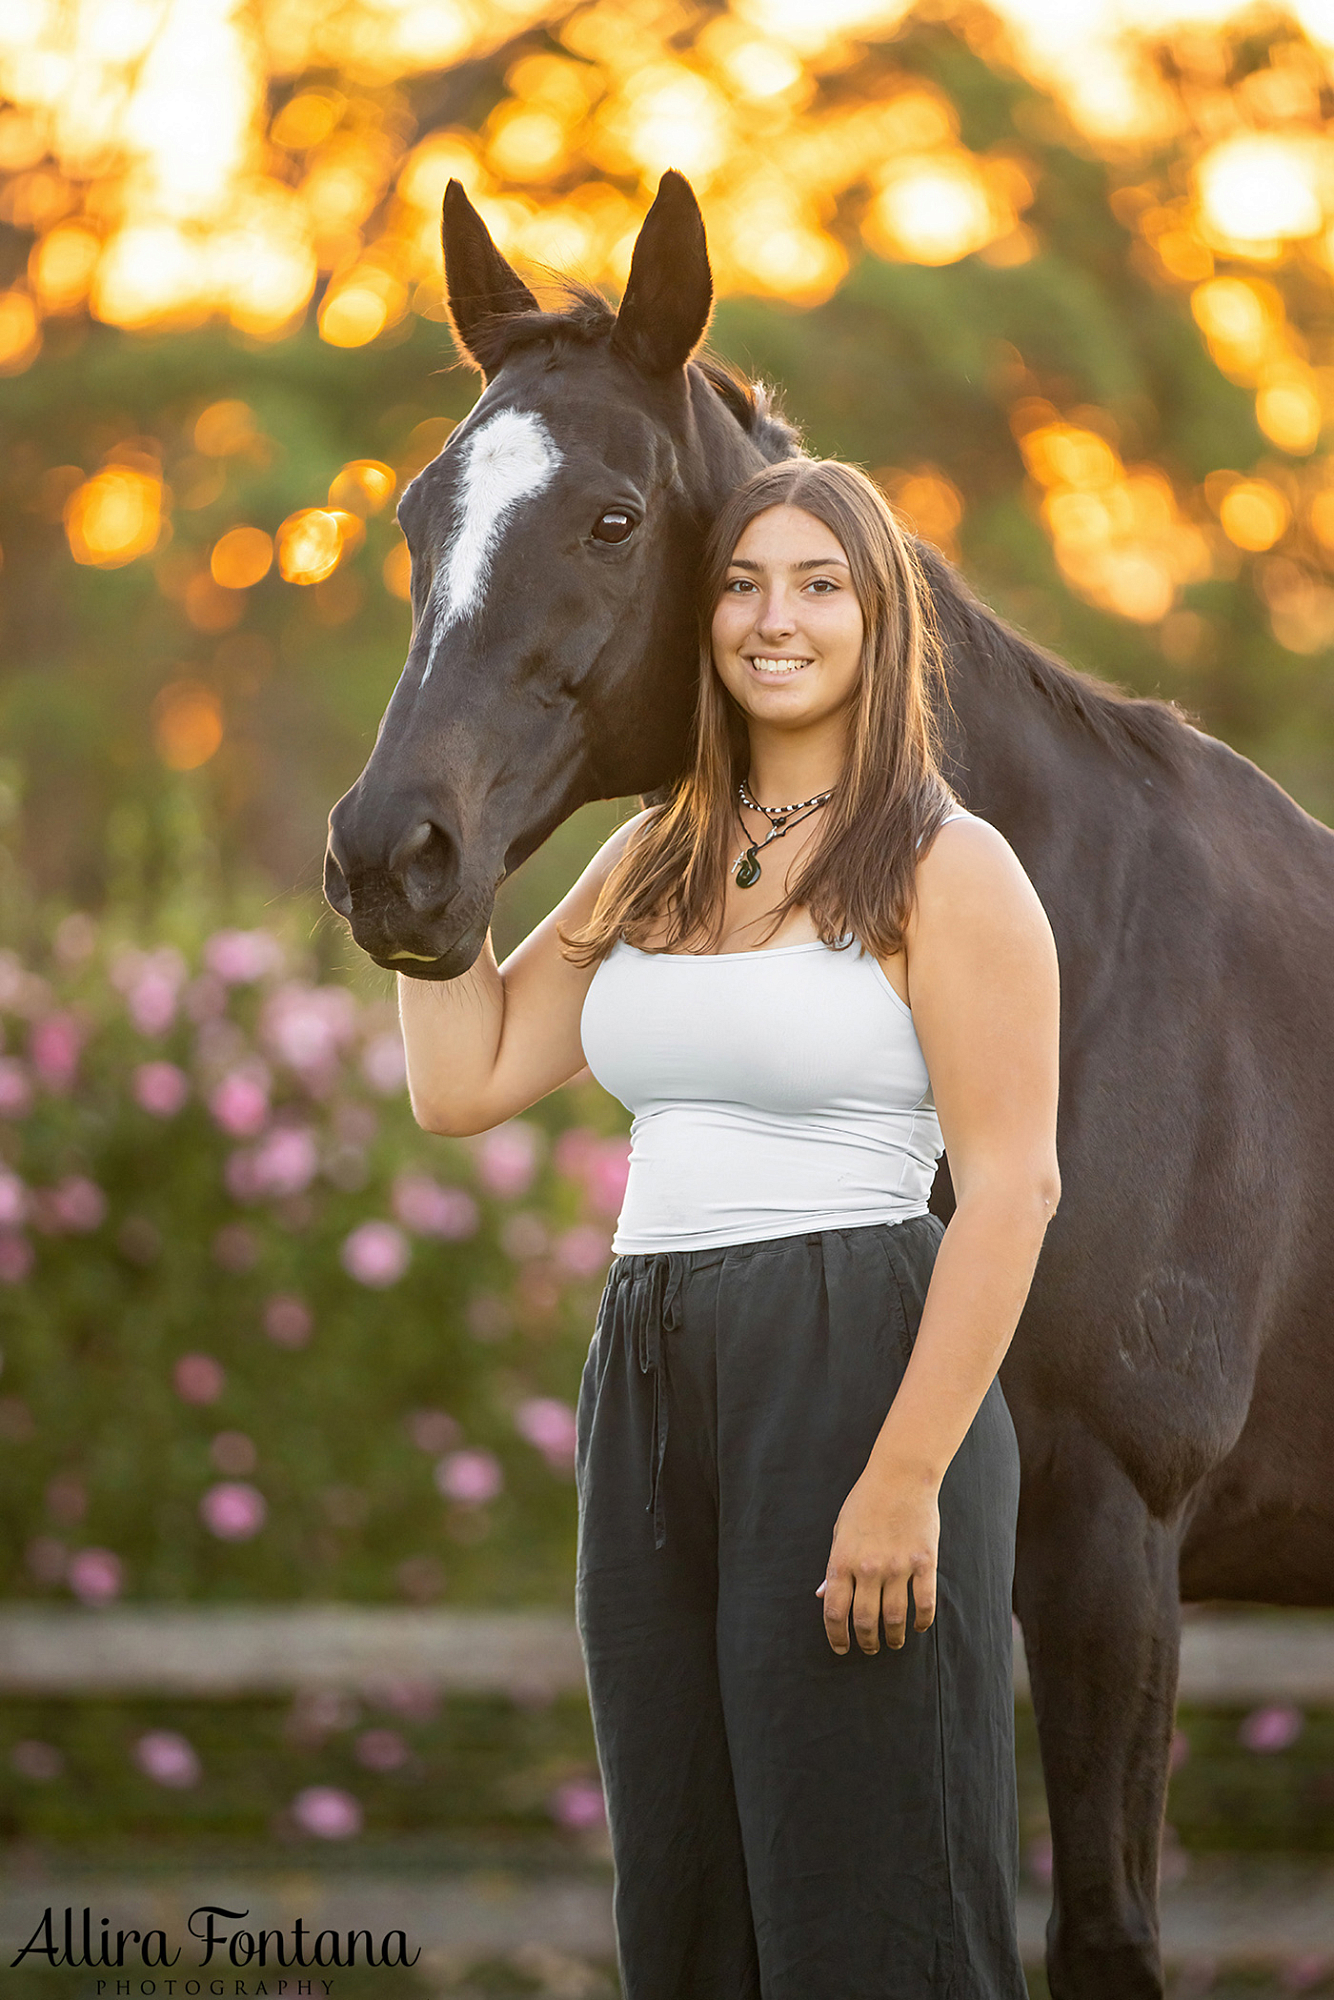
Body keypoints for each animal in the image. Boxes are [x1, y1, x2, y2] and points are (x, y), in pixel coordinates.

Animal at [326, 176, 1334, 2000]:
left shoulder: (1108, 1546)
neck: (1091, 969)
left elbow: (1101, 1937)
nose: (391, 858)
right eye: (423, 520)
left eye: (608, 519)